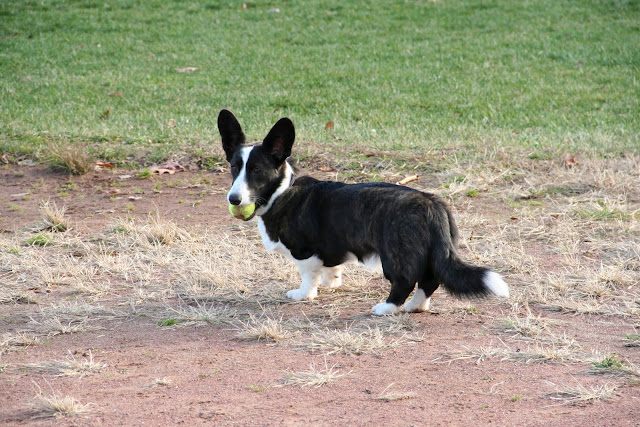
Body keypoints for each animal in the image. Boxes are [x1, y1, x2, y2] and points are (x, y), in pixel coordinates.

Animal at [218, 109, 509, 315]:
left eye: (257, 170)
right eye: (234, 167)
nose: (234, 199)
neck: (281, 191)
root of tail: (431, 205)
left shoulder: (304, 253)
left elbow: (307, 276)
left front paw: (302, 295)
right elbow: (331, 268)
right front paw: (332, 282)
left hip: (394, 256)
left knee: (405, 281)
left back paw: (387, 308)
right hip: (431, 252)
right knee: (429, 281)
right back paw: (415, 306)